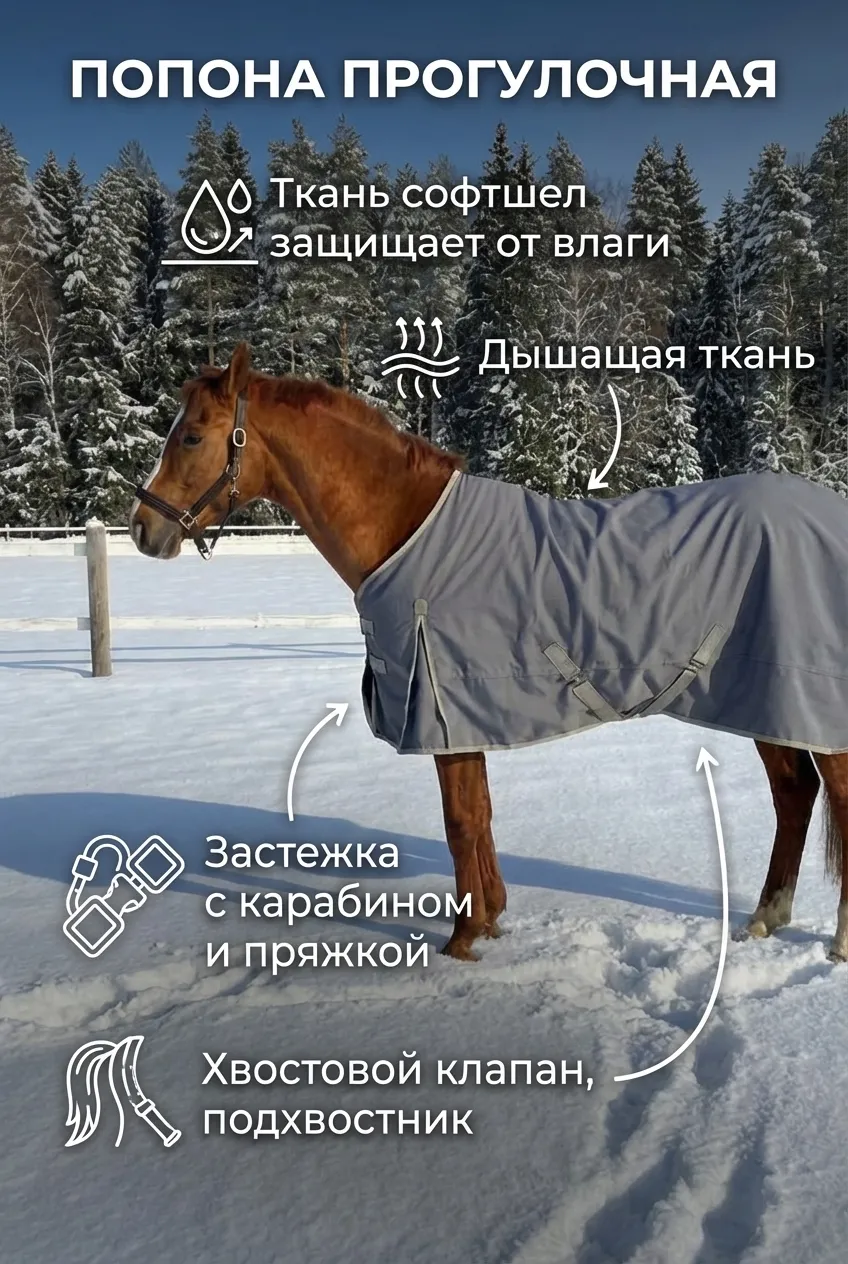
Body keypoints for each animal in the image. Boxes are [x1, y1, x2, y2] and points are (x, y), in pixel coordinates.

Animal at [129, 342, 848, 963]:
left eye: (192, 436)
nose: (142, 530)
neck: (406, 531)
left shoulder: (443, 709)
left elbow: (459, 821)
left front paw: (462, 939)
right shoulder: (464, 717)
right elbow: (480, 815)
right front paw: (492, 919)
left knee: (835, 797)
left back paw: (837, 942)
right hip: (764, 701)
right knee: (794, 795)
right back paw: (764, 919)